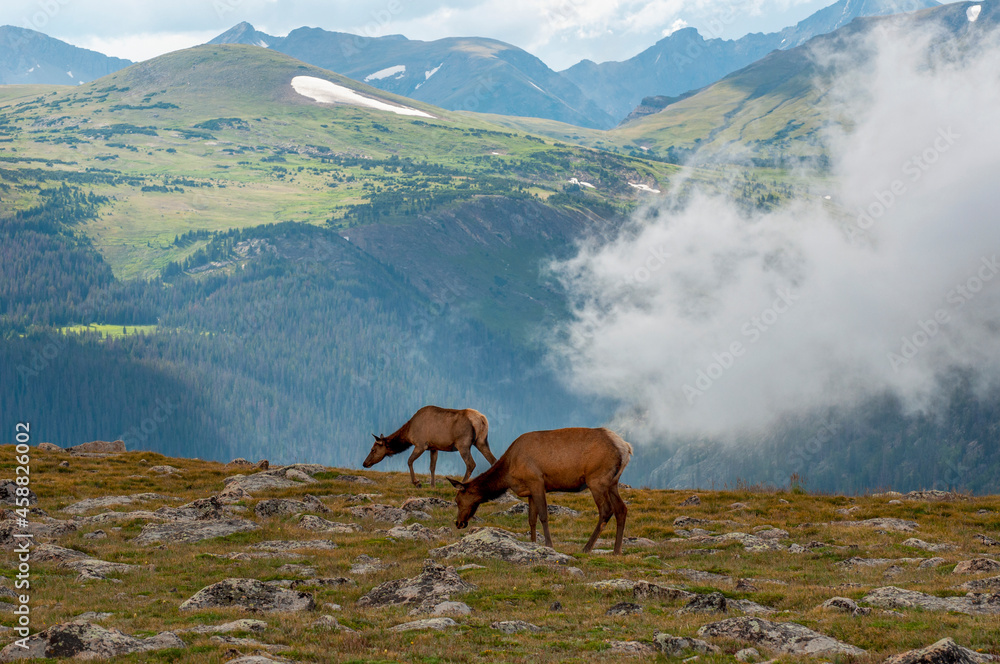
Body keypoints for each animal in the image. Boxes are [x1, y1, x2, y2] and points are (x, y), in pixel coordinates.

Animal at [364, 404, 496, 488]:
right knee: (493, 460)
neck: (408, 433)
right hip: (481, 442)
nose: (365, 463)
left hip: (463, 444)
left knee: (471, 464)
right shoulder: (434, 447)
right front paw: (432, 486)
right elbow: (432, 467)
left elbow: (409, 461)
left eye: (373, 449)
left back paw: (460, 484)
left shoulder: (421, 444)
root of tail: (482, 420)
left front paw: (417, 482)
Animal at [448, 428, 632, 552]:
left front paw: (549, 545)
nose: (458, 523)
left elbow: (543, 515)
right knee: (621, 509)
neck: (508, 471)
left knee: (606, 510)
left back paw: (587, 548)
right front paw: (533, 543)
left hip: (596, 479)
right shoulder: (529, 489)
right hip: (612, 482)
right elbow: (531, 519)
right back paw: (617, 550)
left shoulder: (536, 481)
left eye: (457, 500)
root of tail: (626, 448)